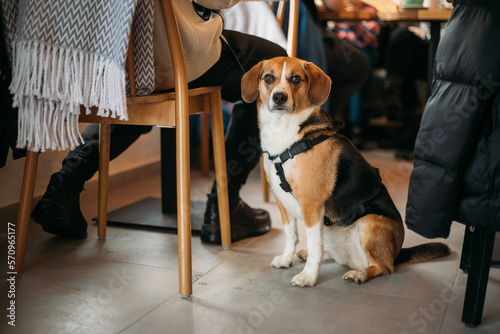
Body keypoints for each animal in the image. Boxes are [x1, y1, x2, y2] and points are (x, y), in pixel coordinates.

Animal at [242, 57, 450, 288]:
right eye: (268, 78)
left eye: (295, 79)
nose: (279, 97)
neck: (286, 133)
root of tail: (397, 253)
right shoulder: (282, 201)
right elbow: (291, 234)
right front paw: (287, 259)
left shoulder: (311, 204)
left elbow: (314, 244)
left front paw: (308, 276)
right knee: (339, 256)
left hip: (368, 223)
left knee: (385, 268)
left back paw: (360, 274)